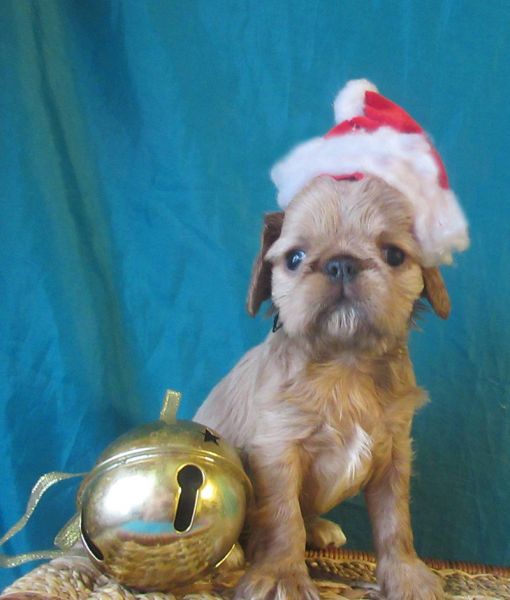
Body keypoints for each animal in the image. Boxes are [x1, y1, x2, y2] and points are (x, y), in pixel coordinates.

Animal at [195, 174, 450, 600]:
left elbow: (395, 521)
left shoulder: (395, 453)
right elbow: (283, 519)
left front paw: (406, 576)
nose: (341, 263)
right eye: (295, 258)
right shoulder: (277, 453)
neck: (344, 366)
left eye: (394, 254)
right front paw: (282, 577)